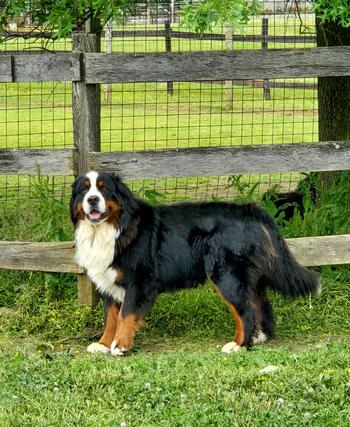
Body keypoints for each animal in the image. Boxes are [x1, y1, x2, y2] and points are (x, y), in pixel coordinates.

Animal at [69, 172, 320, 356]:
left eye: (104, 189)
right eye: (84, 189)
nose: (92, 200)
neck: (112, 229)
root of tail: (250, 209)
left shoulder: (138, 281)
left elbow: (125, 315)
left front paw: (120, 346)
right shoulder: (111, 282)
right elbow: (110, 317)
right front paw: (103, 344)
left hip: (227, 275)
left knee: (246, 310)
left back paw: (239, 345)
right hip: (248, 276)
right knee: (260, 305)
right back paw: (258, 338)